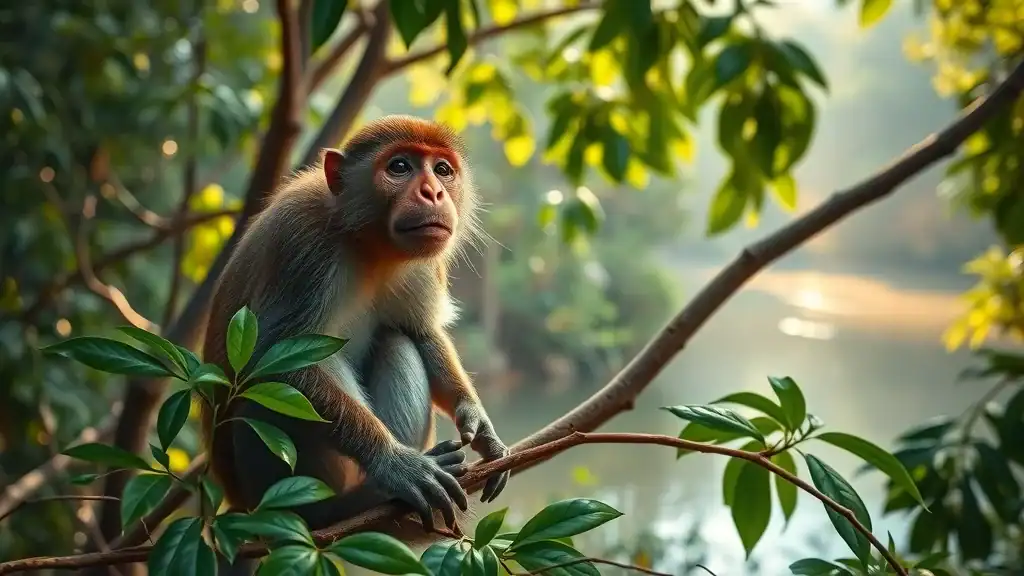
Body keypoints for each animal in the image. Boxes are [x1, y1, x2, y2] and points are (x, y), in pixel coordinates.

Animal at [198, 115, 510, 552]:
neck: (369, 244)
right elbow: (272, 361)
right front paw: (395, 464)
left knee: (397, 341)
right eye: (400, 167)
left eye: (443, 170)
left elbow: (421, 333)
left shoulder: (424, 262)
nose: (433, 192)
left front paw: (479, 424)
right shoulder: (303, 244)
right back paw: (347, 505)